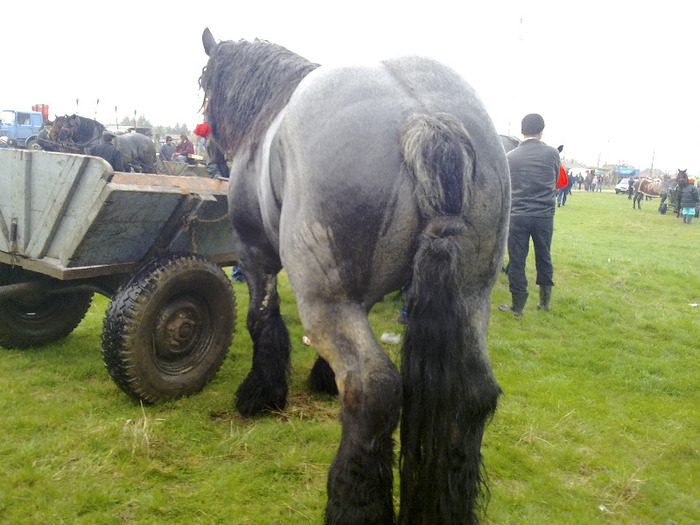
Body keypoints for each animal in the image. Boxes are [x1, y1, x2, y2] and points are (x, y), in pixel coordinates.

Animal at [200, 28, 512, 524]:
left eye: (205, 85)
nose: (210, 151)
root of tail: (424, 118)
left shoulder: (255, 255)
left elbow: (261, 320)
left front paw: (261, 393)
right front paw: (323, 378)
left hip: (325, 299)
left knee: (374, 393)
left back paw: (354, 504)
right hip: (471, 295)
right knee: (475, 394)